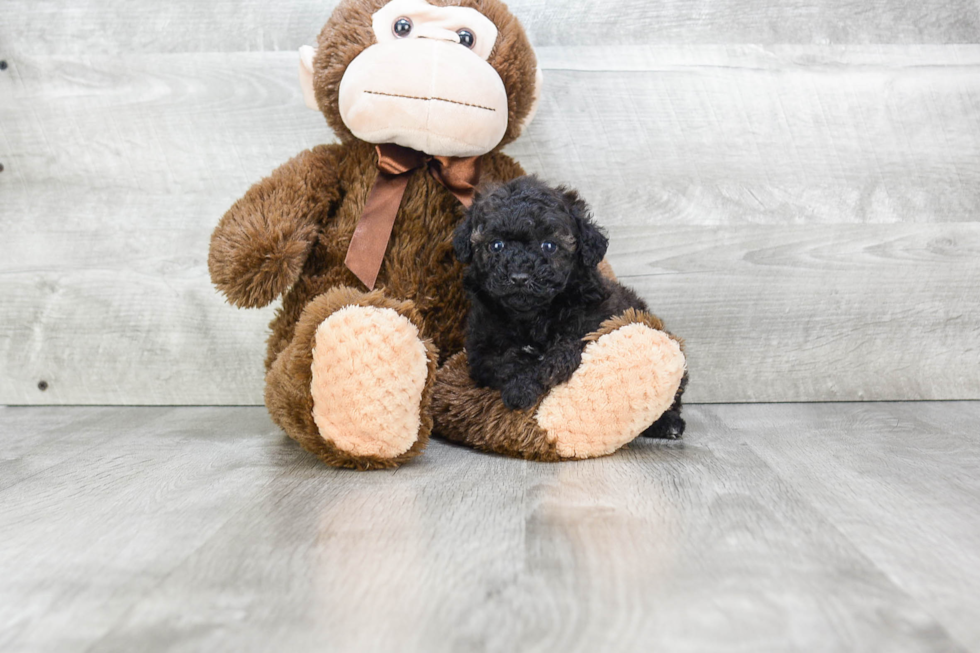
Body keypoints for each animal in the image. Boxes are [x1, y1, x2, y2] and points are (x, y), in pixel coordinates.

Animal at [450, 174, 684, 438]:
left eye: (549, 246)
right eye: (496, 245)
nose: (519, 277)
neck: (532, 317)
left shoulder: (594, 321)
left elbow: (569, 344)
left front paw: (547, 370)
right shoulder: (482, 347)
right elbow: (505, 362)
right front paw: (521, 388)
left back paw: (669, 424)